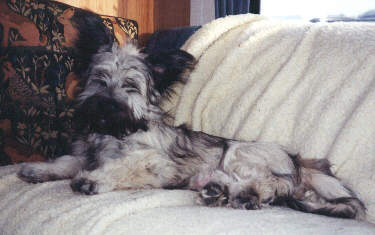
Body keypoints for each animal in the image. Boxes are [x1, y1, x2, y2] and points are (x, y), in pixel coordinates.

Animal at [18, 43, 368, 220]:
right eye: (99, 80)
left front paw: (93, 180)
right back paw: (220, 192)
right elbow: (65, 161)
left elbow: (121, 166)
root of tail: (298, 161)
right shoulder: (84, 154)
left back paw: (243, 195)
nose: (104, 106)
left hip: (238, 153)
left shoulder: (155, 162)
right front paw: (37, 169)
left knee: (271, 186)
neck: (115, 133)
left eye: (130, 86)